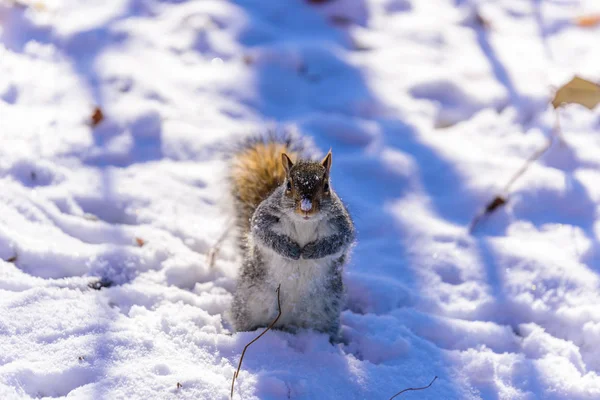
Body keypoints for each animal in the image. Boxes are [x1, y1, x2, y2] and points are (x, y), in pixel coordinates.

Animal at [227, 134, 354, 340]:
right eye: (288, 185)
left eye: (326, 186)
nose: (306, 208)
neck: (304, 222)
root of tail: (286, 322)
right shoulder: (263, 218)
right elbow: (264, 234)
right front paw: (290, 250)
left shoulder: (342, 224)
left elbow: (339, 241)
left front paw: (312, 251)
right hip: (248, 304)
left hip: (325, 313)